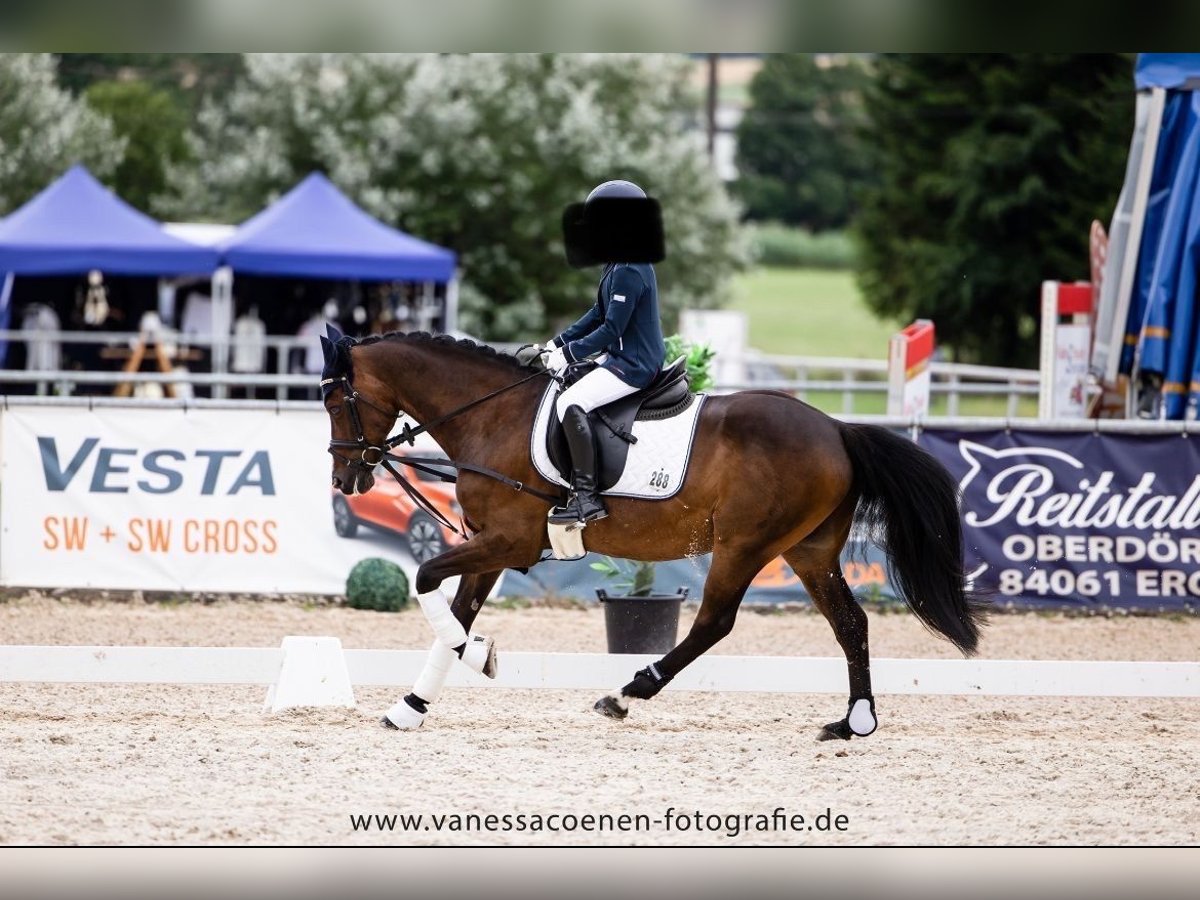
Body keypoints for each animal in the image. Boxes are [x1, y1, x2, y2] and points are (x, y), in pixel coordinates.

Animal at [319, 328, 984, 739]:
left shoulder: (508, 542)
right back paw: (854, 722)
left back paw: (625, 693)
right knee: (851, 624)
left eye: (334, 401)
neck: (491, 416)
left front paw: (482, 656)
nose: (346, 478)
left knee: (715, 623)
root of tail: (839, 429)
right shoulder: (487, 547)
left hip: (744, 546)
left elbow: (427, 581)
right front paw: (411, 708)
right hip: (808, 551)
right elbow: (451, 620)